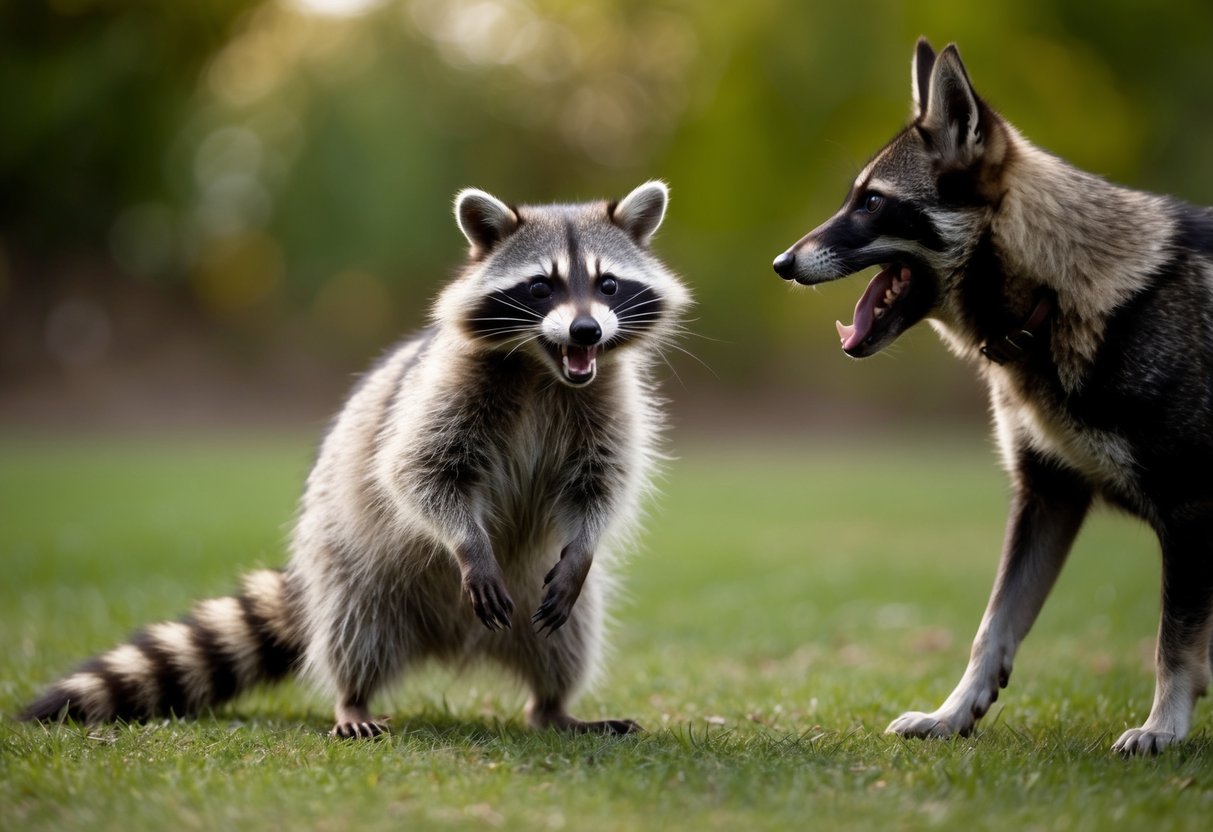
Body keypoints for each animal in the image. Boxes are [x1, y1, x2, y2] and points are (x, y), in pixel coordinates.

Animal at [21, 181, 690, 738]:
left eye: (608, 284)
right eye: (541, 286)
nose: (585, 332)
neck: (543, 367)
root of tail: (454, 640)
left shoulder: (606, 401)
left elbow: (601, 484)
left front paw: (585, 544)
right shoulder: (446, 392)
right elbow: (418, 471)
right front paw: (468, 543)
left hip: (537, 600)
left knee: (568, 641)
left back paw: (553, 707)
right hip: (354, 569)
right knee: (353, 633)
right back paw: (353, 698)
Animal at [773, 39, 1213, 754]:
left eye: (872, 203)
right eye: (852, 199)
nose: (782, 264)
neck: (1056, 298)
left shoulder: (1190, 511)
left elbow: (1174, 645)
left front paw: (1161, 729)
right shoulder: (1046, 498)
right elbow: (993, 628)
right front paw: (952, 715)